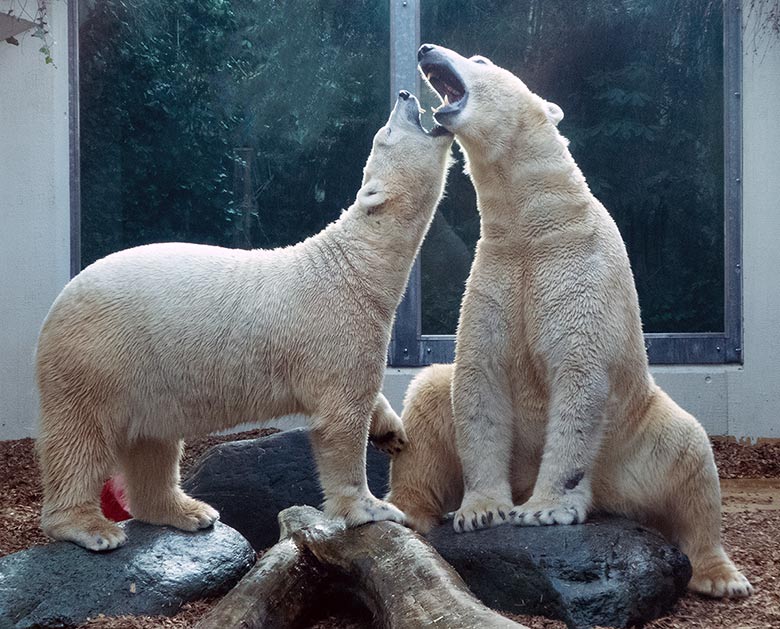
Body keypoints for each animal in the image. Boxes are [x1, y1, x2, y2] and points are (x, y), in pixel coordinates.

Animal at [36, 91, 454, 552]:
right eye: (388, 132)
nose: (406, 95)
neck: (353, 268)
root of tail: (59, 302)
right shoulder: (338, 327)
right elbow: (341, 420)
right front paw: (373, 508)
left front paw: (392, 432)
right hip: (98, 356)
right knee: (81, 437)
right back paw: (92, 527)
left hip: (146, 375)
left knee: (153, 443)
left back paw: (188, 511)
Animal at [386, 45, 752, 600]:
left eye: (480, 58)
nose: (427, 49)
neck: (533, 225)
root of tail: (612, 498)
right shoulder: (496, 274)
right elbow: (477, 378)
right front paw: (482, 511)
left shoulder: (578, 271)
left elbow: (578, 378)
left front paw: (543, 511)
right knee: (427, 401)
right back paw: (404, 512)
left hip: (638, 432)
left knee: (691, 459)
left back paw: (720, 576)